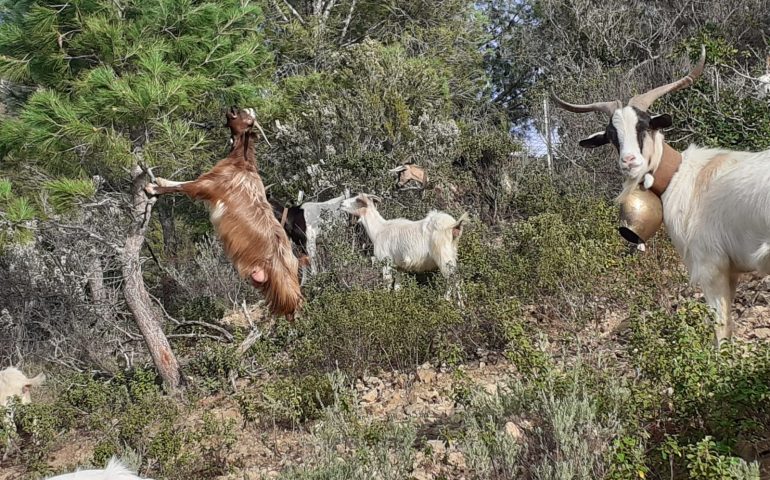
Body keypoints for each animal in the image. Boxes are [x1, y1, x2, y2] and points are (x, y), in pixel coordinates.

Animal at [146, 108, 302, 318]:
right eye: (245, 113)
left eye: (247, 118)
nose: (233, 107)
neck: (241, 163)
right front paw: (158, 181)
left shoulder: (208, 186)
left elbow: (184, 186)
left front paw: (154, 186)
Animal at [548, 47, 768, 344]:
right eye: (611, 135)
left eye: (644, 126)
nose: (629, 161)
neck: (684, 176)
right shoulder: (729, 272)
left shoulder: (712, 267)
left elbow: (721, 334)